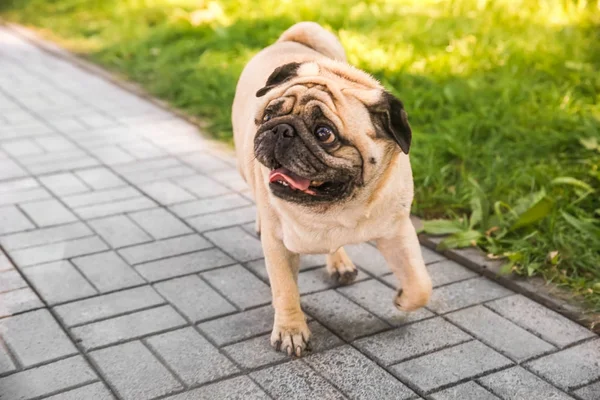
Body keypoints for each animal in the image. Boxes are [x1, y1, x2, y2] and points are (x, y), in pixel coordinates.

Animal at [231, 21, 432, 356]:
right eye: (269, 115)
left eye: (324, 133)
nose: (281, 129)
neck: (338, 209)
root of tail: (290, 39)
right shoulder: (278, 244)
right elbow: (285, 290)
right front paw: (291, 330)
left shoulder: (397, 232)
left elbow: (421, 285)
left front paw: (404, 298)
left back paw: (340, 263)